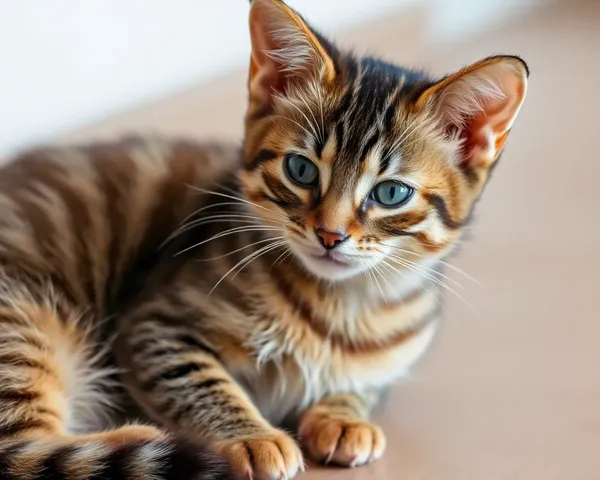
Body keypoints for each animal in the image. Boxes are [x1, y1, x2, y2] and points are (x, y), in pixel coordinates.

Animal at [0, 0, 524, 480]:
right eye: (300, 170)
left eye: (391, 193)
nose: (330, 234)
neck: (339, 308)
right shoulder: (154, 325)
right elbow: (200, 381)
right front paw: (252, 436)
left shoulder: (389, 362)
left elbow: (366, 382)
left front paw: (343, 415)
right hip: (25, 323)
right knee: (22, 449)